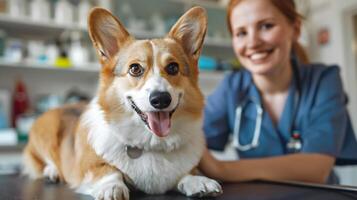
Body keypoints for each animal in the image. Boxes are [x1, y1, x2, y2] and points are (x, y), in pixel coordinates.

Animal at [22, 5, 221, 198]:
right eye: (135, 69)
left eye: (173, 67)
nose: (161, 99)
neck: (151, 144)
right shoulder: (88, 167)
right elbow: (108, 170)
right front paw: (111, 186)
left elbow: (187, 173)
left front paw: (198, 181)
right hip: (46, 131)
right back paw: (52, 171)